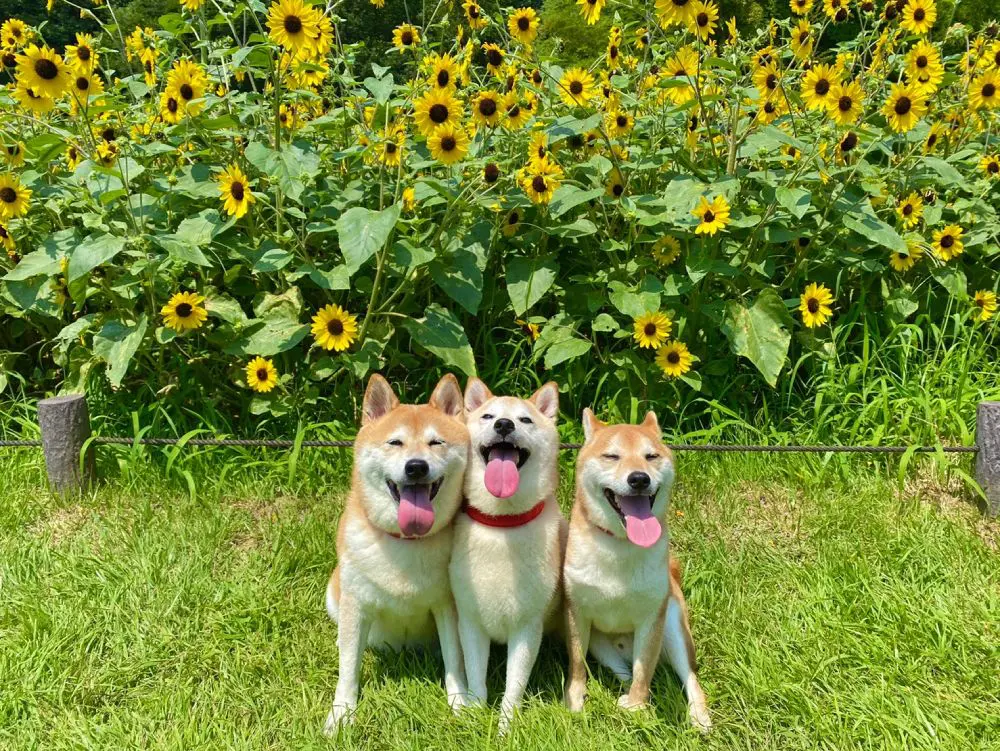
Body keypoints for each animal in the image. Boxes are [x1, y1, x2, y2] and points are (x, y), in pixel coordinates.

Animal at [324, 374, 472, 736]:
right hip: (335, 591)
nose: (416, 467)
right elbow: (348, 668)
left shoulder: (447, 606)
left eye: (436, 442)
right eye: (395, 442)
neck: (406, 542)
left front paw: (458, 703)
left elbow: (455, 659)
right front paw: (341, 712)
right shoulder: (356, 603)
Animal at [450, 378, 568, 732]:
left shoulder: (527, 627)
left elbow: (514, 686)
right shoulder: (470, 621)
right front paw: (476, 715)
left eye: (525, 420)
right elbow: (476, 676)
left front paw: (506, 727)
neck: (503, 526)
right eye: (488, 416)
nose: (504, 424)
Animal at [564, 412, 712, 736]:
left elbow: (645, 671)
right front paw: (575, 701)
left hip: (673, 628)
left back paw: (699, 717)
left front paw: (638, 709)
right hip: (601, 644)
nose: (639, 478)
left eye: (651, 456)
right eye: (611, 456)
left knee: (689, 678)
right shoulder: (577, 612)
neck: (621, 545)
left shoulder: (651, 619)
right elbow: (578, 664)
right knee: (624, 671)